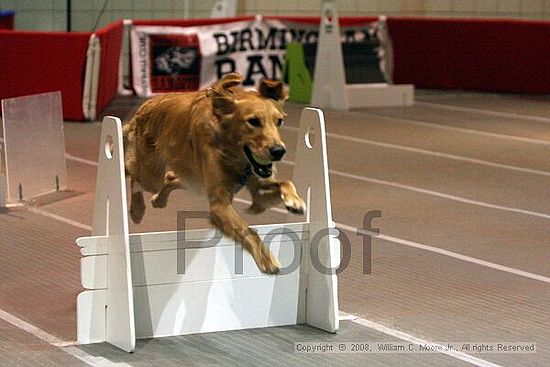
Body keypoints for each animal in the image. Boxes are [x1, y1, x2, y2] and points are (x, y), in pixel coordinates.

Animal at [123, 73, 308, 274]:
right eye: (253, 121)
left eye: (279, 121)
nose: (278, 151)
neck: (234, 154)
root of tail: (145, 106)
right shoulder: (220, 204)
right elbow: (247, 229)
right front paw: (266, 258)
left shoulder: (259, 189)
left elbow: (286, 182)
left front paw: (295, 202)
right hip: (152, 174)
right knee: (134, 175)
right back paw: (137, 210)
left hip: (192, 179)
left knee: (170, 177)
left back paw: (158, 200)